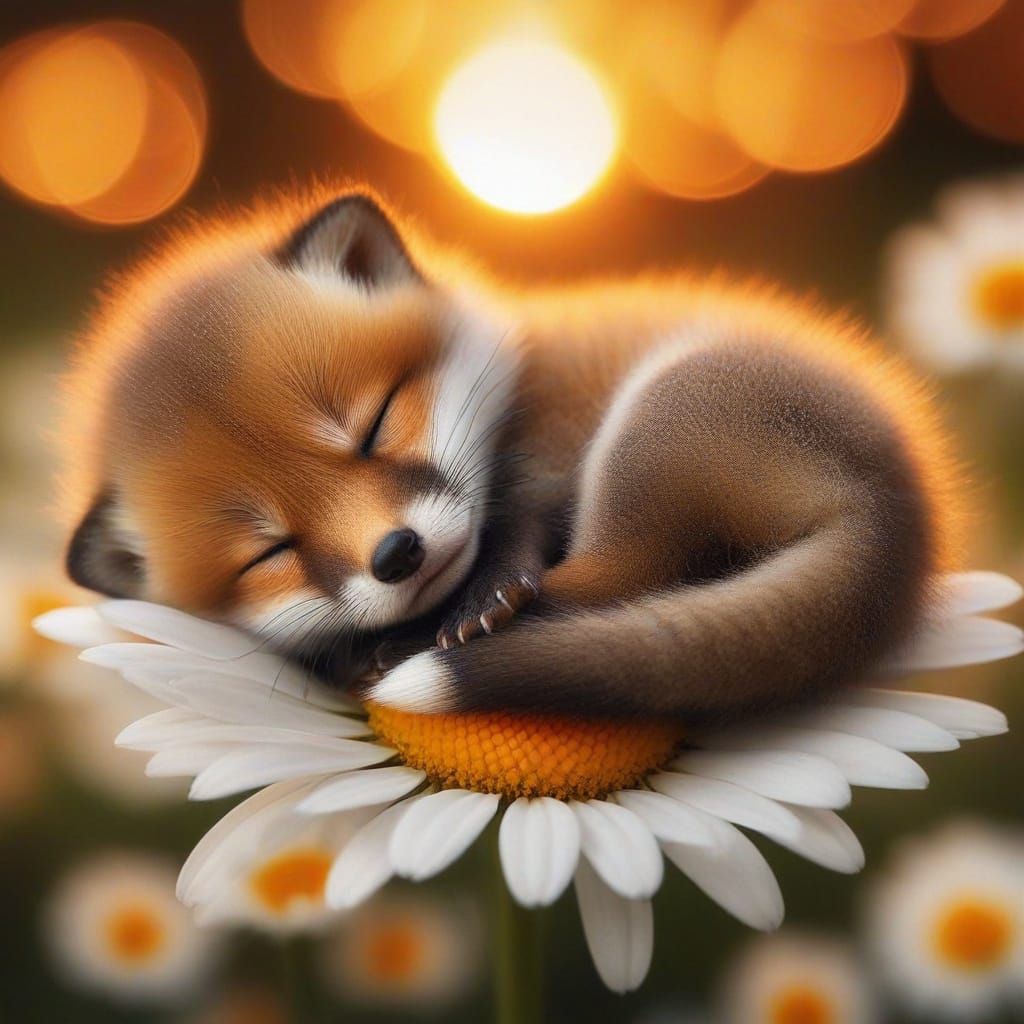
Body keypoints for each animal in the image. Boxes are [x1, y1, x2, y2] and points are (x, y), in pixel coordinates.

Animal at [62, 188, 963, 723]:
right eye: (269, 553)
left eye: (375, 424)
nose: (397, 554)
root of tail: (904, 514)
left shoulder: (553, 449)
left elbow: (521, 525)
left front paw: (478, 595)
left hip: (656, 419)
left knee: (622, 576)